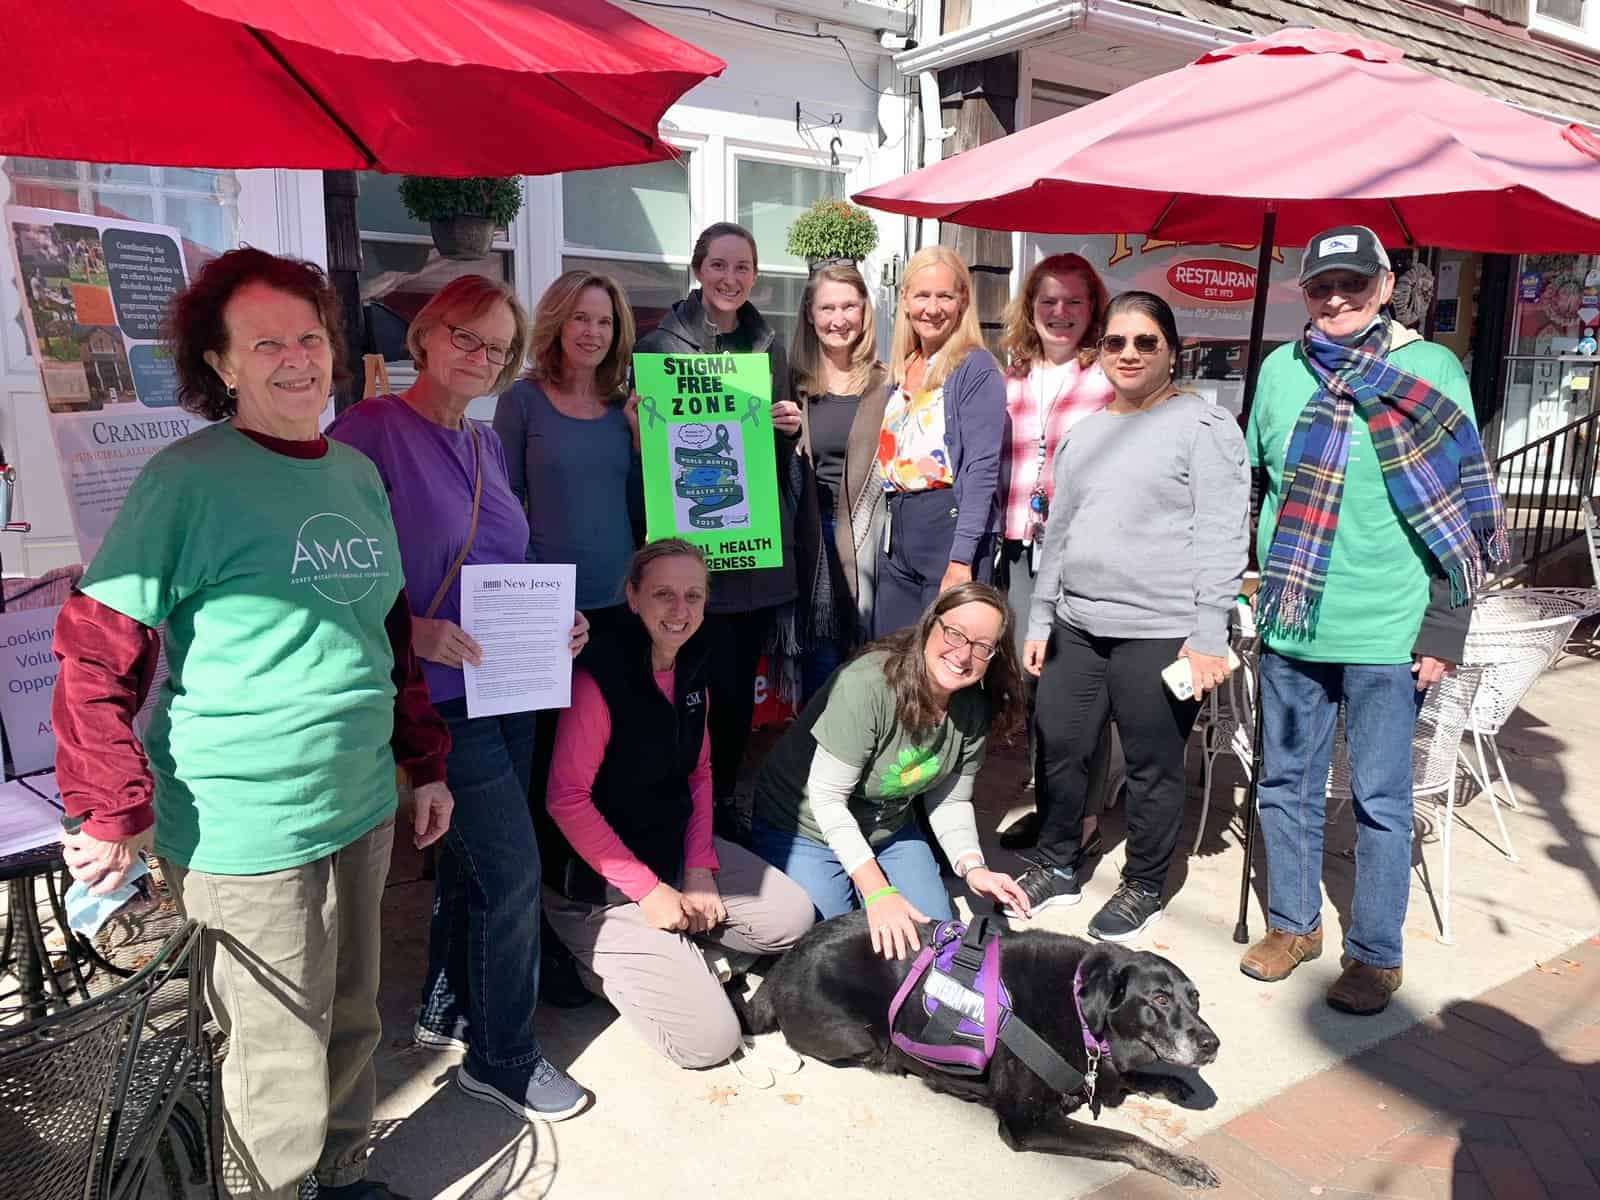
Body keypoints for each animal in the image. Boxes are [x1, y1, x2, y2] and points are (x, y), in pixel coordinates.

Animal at [748, 915, 1222, 1190]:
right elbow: (1124, 1138)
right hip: (857, 1036)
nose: (1211, 1044)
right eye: (1159, 1000)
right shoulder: (1027, 1123)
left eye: (1195, 998)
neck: (1081, 1009)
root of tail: (782, 965)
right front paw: (1181, 1164)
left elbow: (1131, 1077)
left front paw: (1172, 1083)